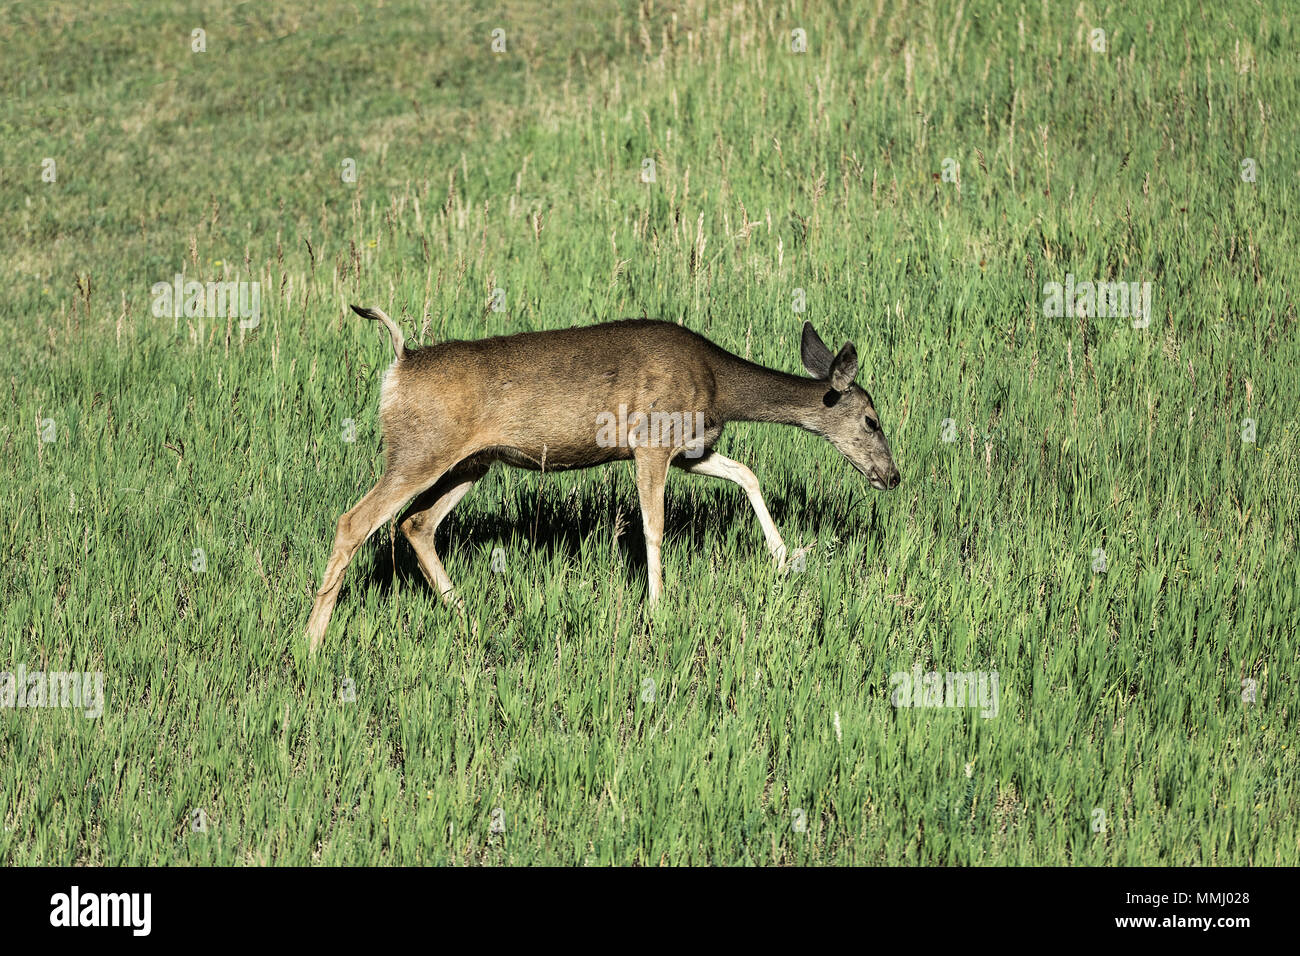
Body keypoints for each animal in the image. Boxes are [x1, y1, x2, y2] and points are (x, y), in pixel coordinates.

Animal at [304, 306, 899, 650]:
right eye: (872, 420)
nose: (892, 477)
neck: (718, 385)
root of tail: (399, 363)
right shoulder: (651, 440)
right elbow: (654, 528)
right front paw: (658, 612)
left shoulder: (691, 449)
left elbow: (747, 474)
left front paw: (785, 557)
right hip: (418, 450)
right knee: (354, 521)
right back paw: (312, 642)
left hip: (472, 461)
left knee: (416, 523)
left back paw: (470, 618)